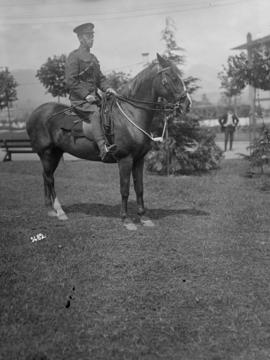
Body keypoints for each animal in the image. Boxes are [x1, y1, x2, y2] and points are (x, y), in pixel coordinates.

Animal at [26, 54, 191, 232]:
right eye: (173, 78)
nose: (187, 104)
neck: (130, 115)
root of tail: (35, 113)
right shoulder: (125, 160)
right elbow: (124, 189)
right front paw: (126, 219)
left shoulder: (139, 160)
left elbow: (139, 188)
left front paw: (144, 217)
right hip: (47, 153)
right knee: (49, 178)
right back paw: (59, 211)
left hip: (55, 153)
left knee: (46, 176)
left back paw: (50, 209)